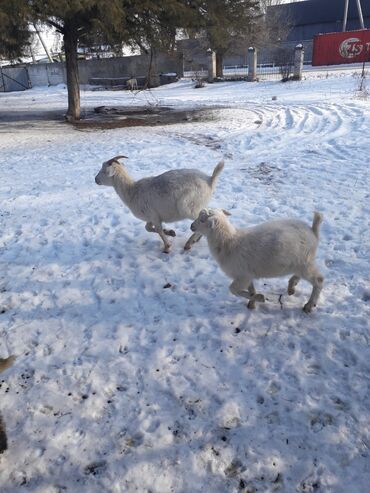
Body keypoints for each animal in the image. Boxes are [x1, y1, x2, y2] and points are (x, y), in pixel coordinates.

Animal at [94, 156, 224, 252]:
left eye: (104, 171)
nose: (96, 179)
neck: (132, 191)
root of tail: (210, 180)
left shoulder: (154, 216)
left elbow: (158, 230)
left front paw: (167, 246)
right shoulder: (151, 217)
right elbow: (149, 228)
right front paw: (171, 232)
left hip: (188, 207)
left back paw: (189, 243)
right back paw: (196, 239)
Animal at [191, 209, 324, 312]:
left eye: (202, 220)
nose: (191, 226)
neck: (229, 242)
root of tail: (313, 231)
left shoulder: (242, 275)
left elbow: (233, 289)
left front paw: (260, 298)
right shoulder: (248, 274)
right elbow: (251, 289)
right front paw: (252, 302)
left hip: (304, 262)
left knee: (319, 280)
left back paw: (308, 305)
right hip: (301, 262)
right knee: (300, 275)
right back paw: (292, 286)